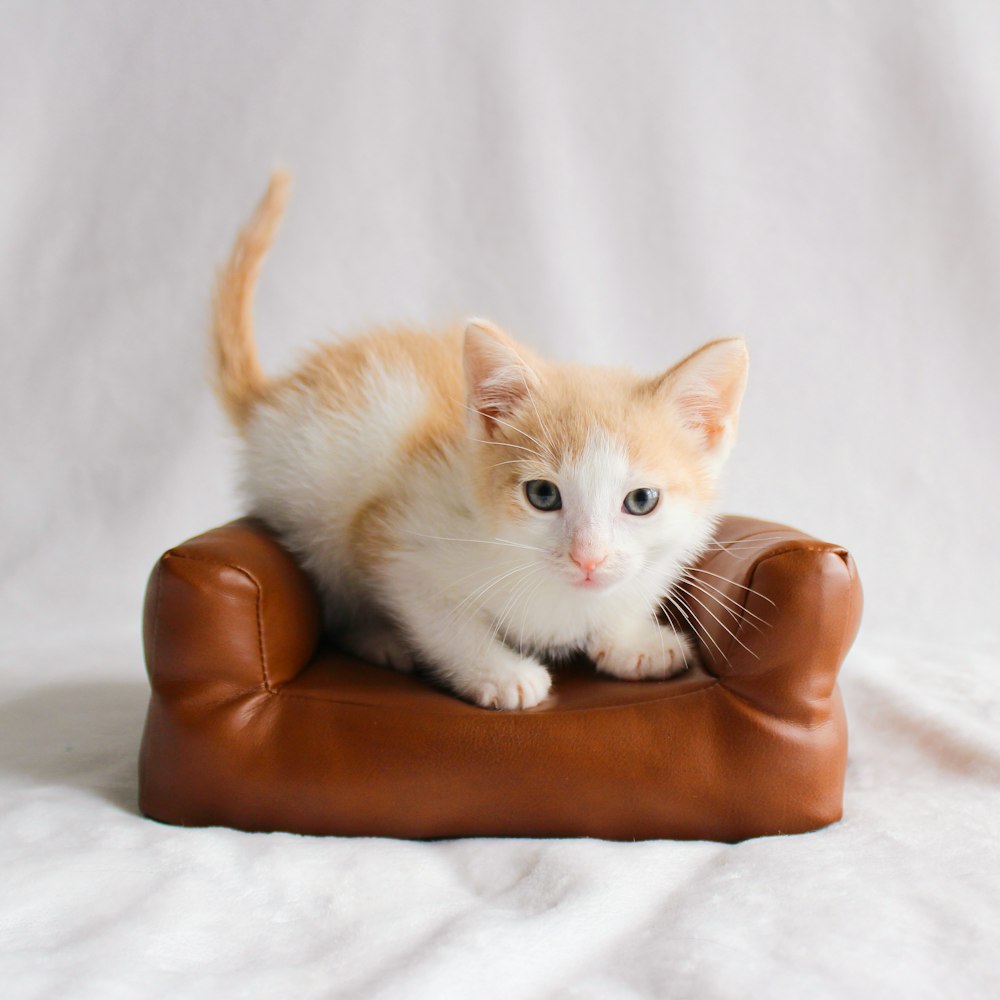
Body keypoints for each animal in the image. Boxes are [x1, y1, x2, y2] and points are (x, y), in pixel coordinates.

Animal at [211, 172, 748, 708]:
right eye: (542, 495)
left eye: (641, 500)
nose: (588, 558)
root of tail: (274, 396)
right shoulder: (397, 534)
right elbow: (440, 617)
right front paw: (499, 673)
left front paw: (631, 641)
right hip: (313, 501)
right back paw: (377, 637)